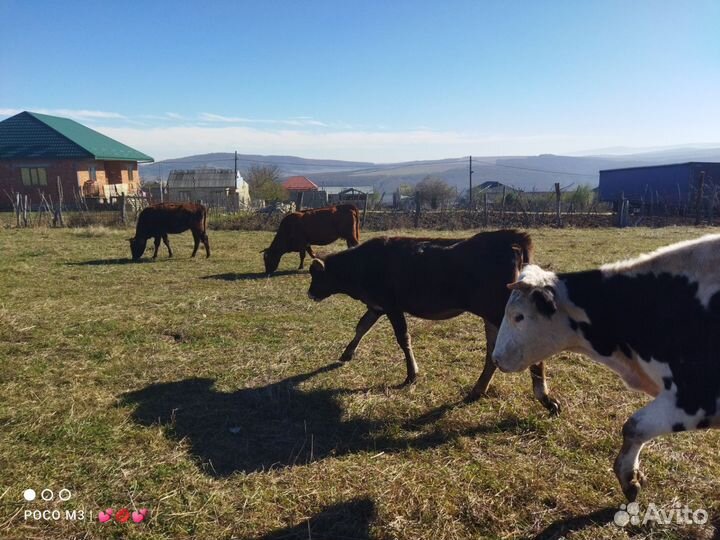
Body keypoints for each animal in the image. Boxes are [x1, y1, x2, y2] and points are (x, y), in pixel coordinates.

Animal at [307, 230, 561, 414]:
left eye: (316, 275)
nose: (310, 293)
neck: (361, 264)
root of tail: (511, 240)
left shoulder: (391, 305)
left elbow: (403, 338)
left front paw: (412, 374)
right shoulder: (376, 306)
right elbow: (362, 326)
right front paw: (347, 353)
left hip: (500, 311)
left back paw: (545, 398)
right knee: (492, 353)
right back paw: (477, 390)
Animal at [492, 234, 720, 501]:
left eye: (518, 316)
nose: (496, 358)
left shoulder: (697, 397)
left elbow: (634, 426)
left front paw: (628, 477)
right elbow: (634, 427)